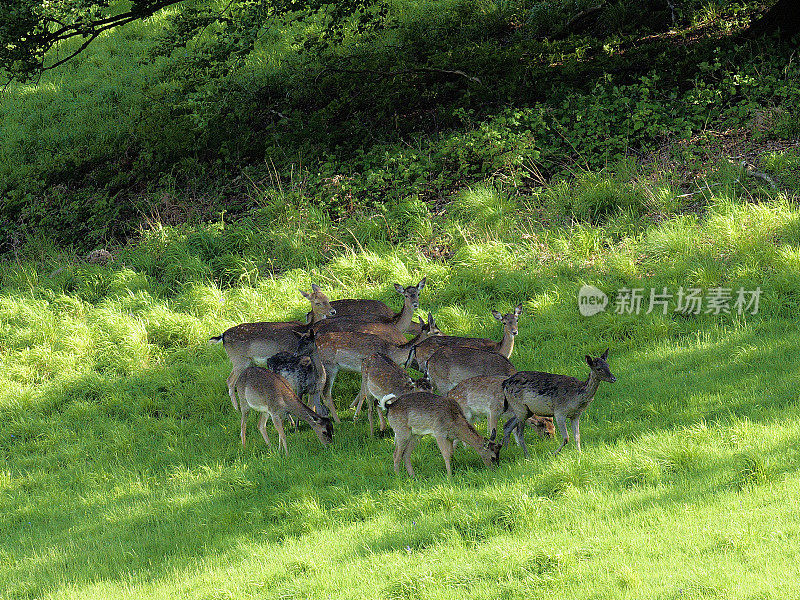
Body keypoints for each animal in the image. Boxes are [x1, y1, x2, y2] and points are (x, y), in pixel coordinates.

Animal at [312, 314, 440, 422]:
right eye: (437, 332)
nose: (444, 336)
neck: (392, 351)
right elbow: (365, 392)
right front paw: (355, 417)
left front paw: (353, 411)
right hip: (329, 366)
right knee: (325, 393)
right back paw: (337, 421)